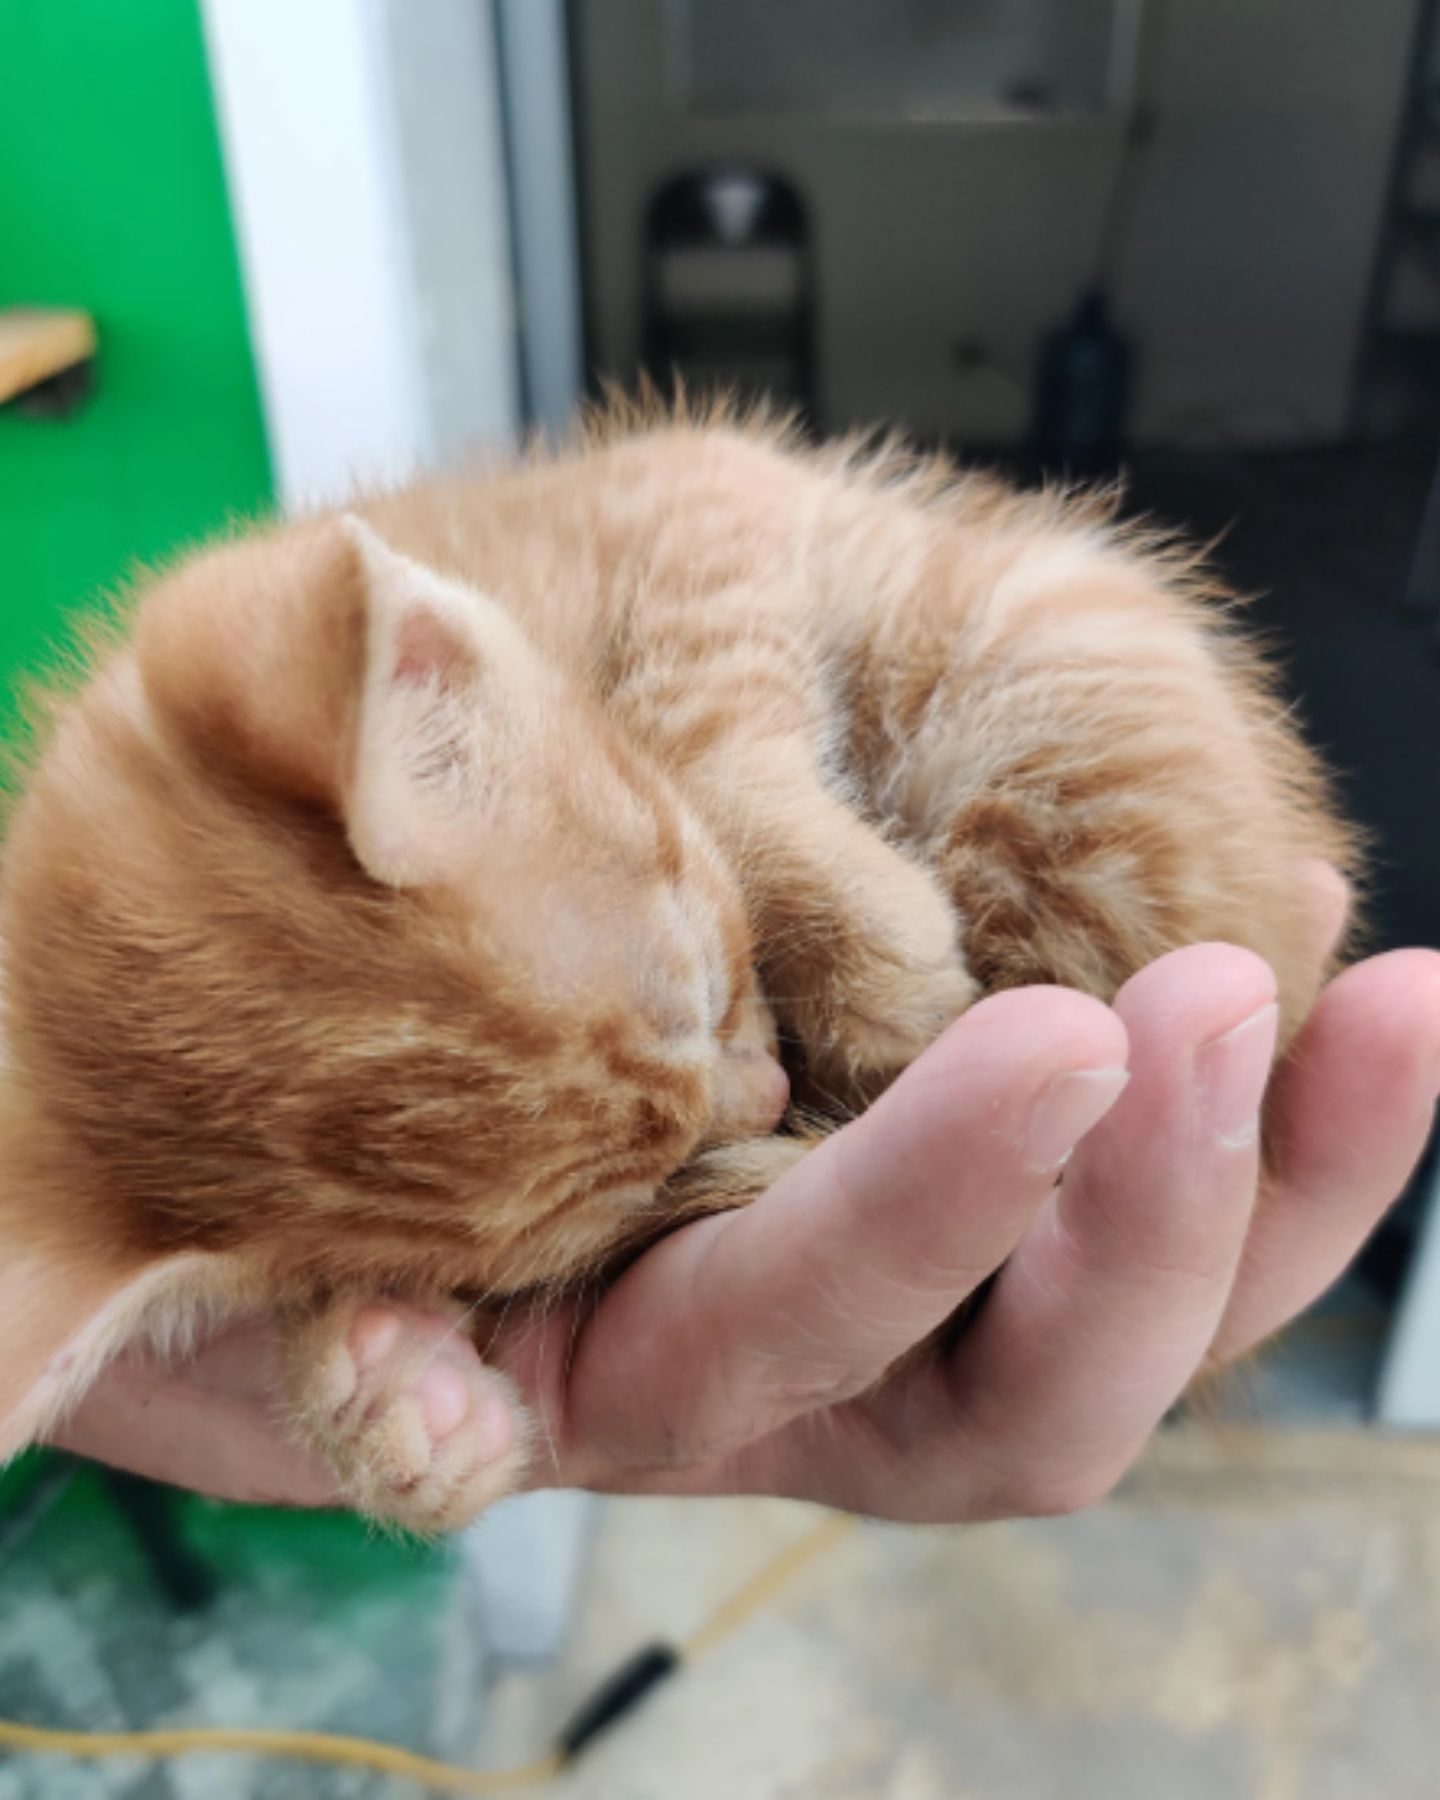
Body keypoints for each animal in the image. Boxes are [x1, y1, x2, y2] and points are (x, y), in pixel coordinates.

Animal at [0, 412, 1353, 1533]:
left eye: (715, 985)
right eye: (631, 1197)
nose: (769, 1100)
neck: (507, 572)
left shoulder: (701, 490)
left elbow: (697, 727)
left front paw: (881, 962)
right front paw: (383, 1402)